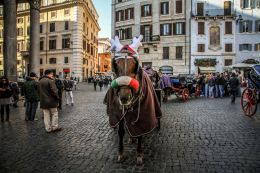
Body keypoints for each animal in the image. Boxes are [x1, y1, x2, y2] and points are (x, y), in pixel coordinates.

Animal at [104, 36, 162, 165]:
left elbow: (140, 132)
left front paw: (139, 154)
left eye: (135, 65)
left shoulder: (143, 114)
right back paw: (131, 138)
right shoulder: (119, 112)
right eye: (116, 64)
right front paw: (120, 153)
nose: (124, 97)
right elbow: (121, 131)